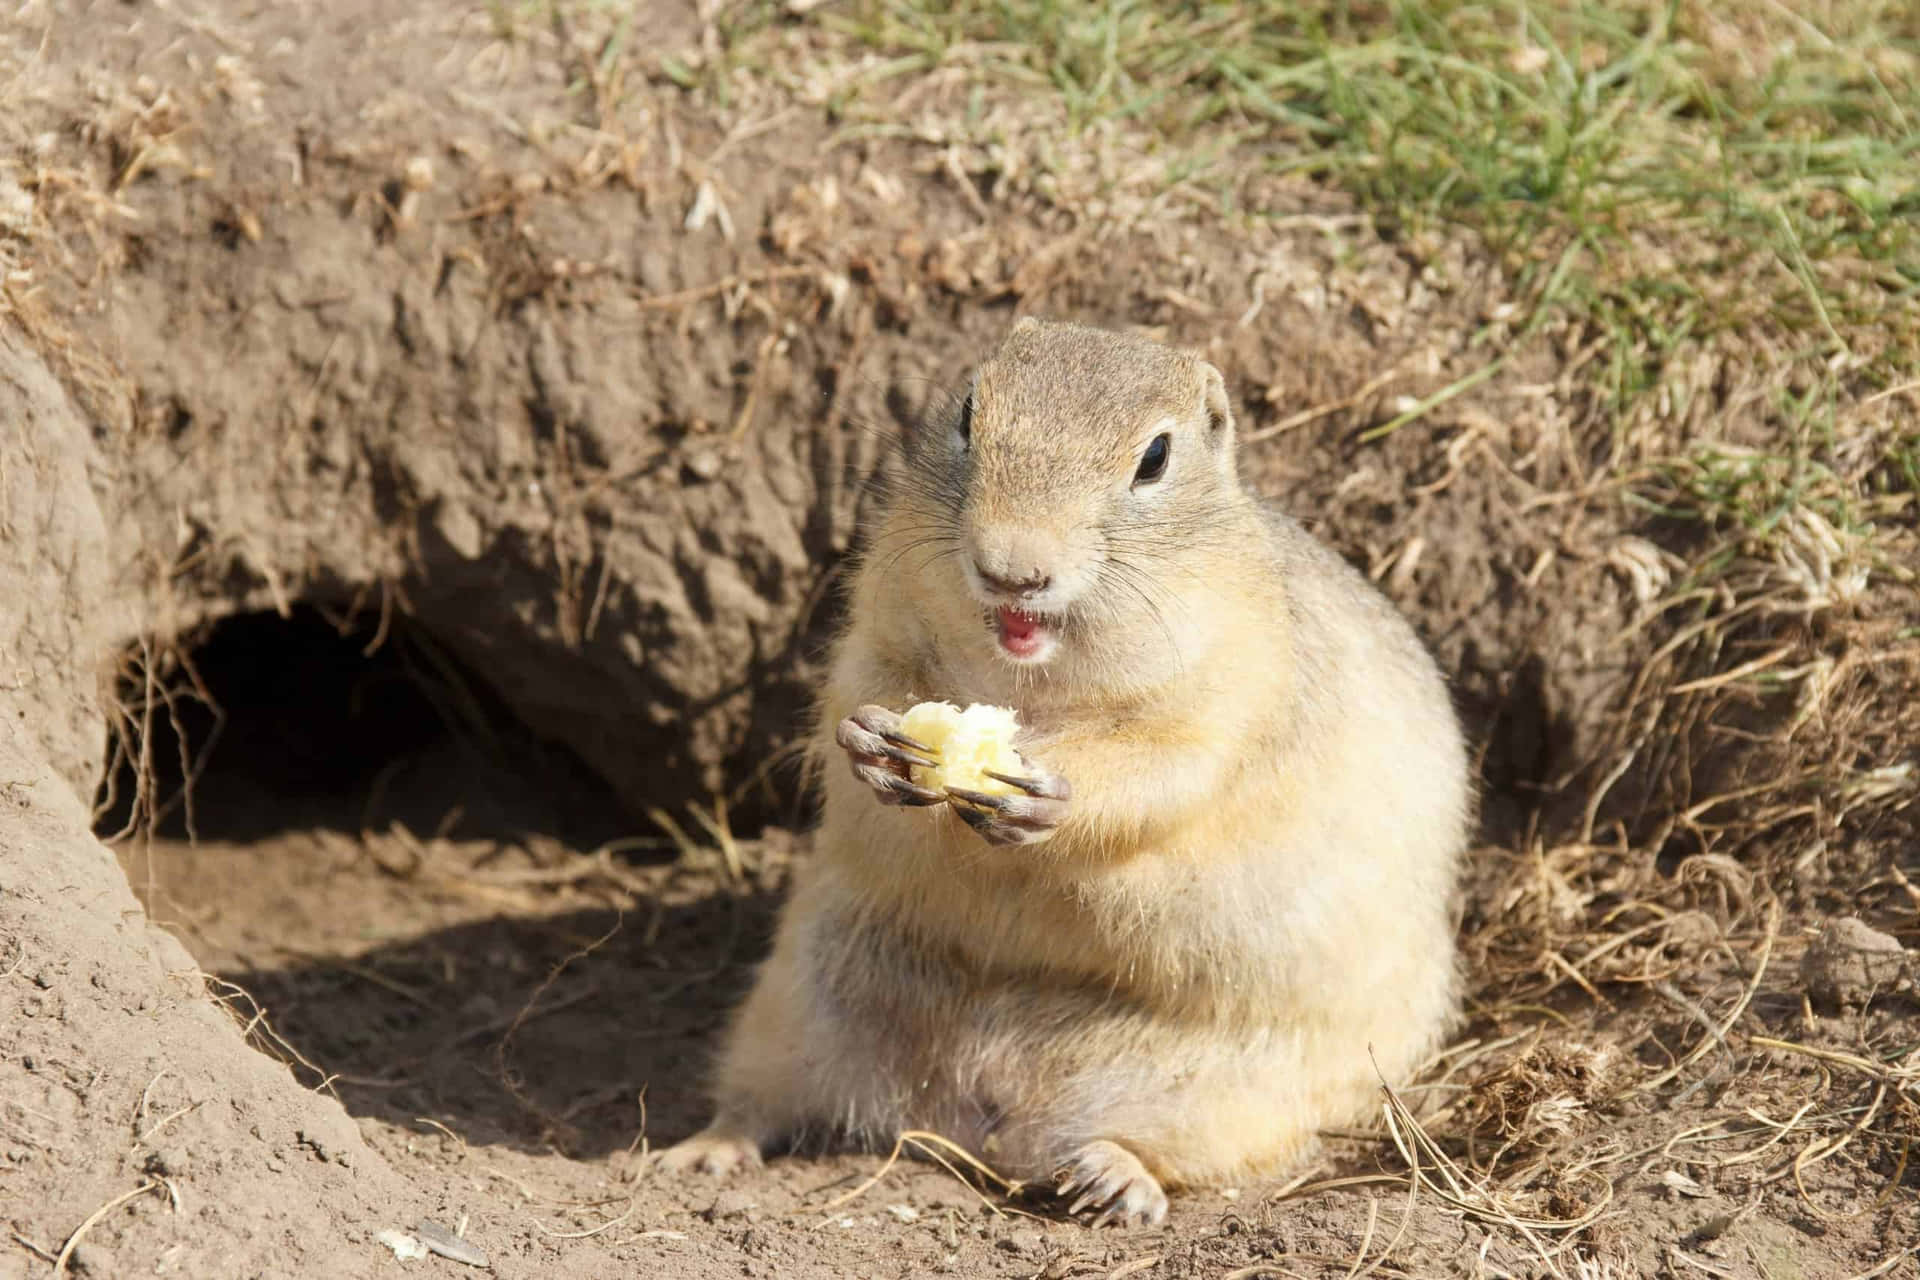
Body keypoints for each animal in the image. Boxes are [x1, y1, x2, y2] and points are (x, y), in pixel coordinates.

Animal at [660, 314, 1466, 1228]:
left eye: (1156, 458)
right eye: (968, 412)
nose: (1013, 568)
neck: (1032, 685)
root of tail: (980, 1109)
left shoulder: (1232, 684)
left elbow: (1171, 767)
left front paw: (1048, 798)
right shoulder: (879, 612)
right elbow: (857, 680)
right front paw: (871, 742)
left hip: (1254, 1096)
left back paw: (1115, 1177)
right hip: (792, 1002)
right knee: (758, 1099)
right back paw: (706, 1150)